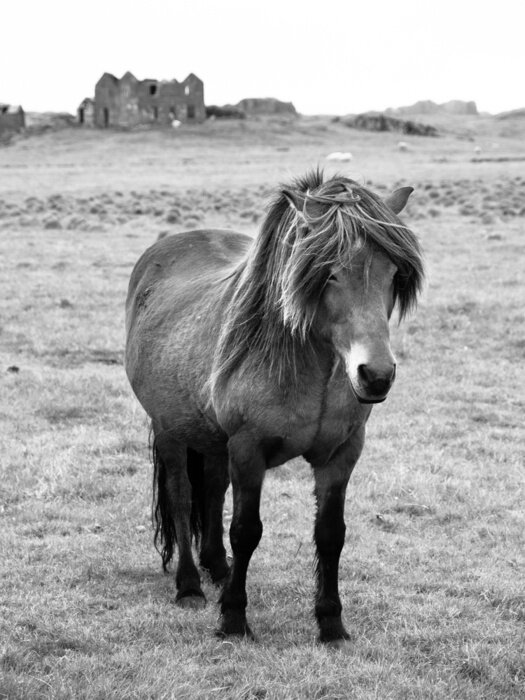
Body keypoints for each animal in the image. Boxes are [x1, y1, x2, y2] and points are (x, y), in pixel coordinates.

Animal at [125, 170, 424, 645]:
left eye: (394, 274)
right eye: (328, 273)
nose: (375, 375)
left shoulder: (342, 454)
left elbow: (330, 534)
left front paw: (331, 624)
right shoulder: (248, 450)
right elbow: (246, 530)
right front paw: (233, 619)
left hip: (212, 440)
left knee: (211, 492)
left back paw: (217, 568)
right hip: (171, 429)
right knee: (182, 497)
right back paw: (190, 586)